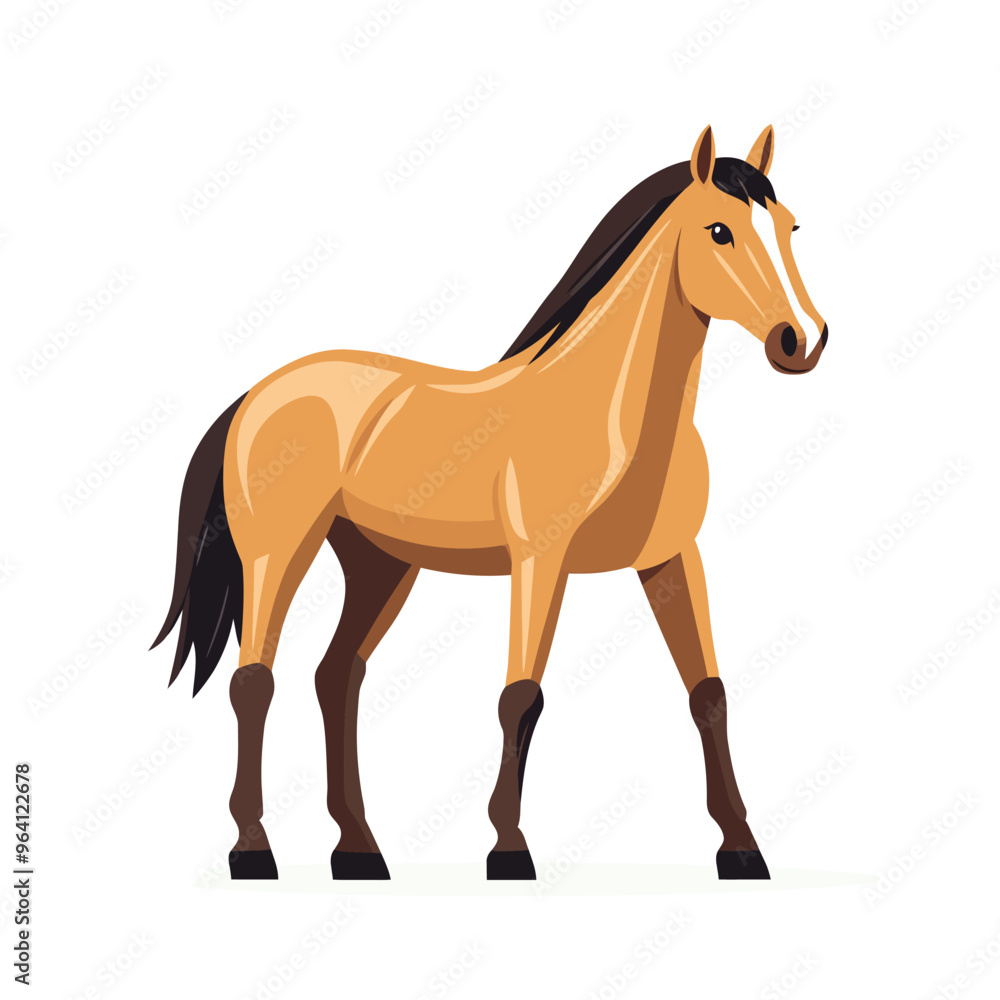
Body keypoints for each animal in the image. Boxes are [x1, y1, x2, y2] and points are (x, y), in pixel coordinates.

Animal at [153, 125, 828, 882]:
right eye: (719, 231)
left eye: (790, 227)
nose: (802, 340)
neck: (611, 413)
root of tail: (258, 394)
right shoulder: (541, 560)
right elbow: (521, 697)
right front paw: (509, 849)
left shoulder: (671, 558)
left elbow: (708, 694)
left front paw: (742, 848)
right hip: (277, 552)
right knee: (254, 682)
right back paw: (253, 849)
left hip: (380, 565)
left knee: (337, 677)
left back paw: (358, 851)